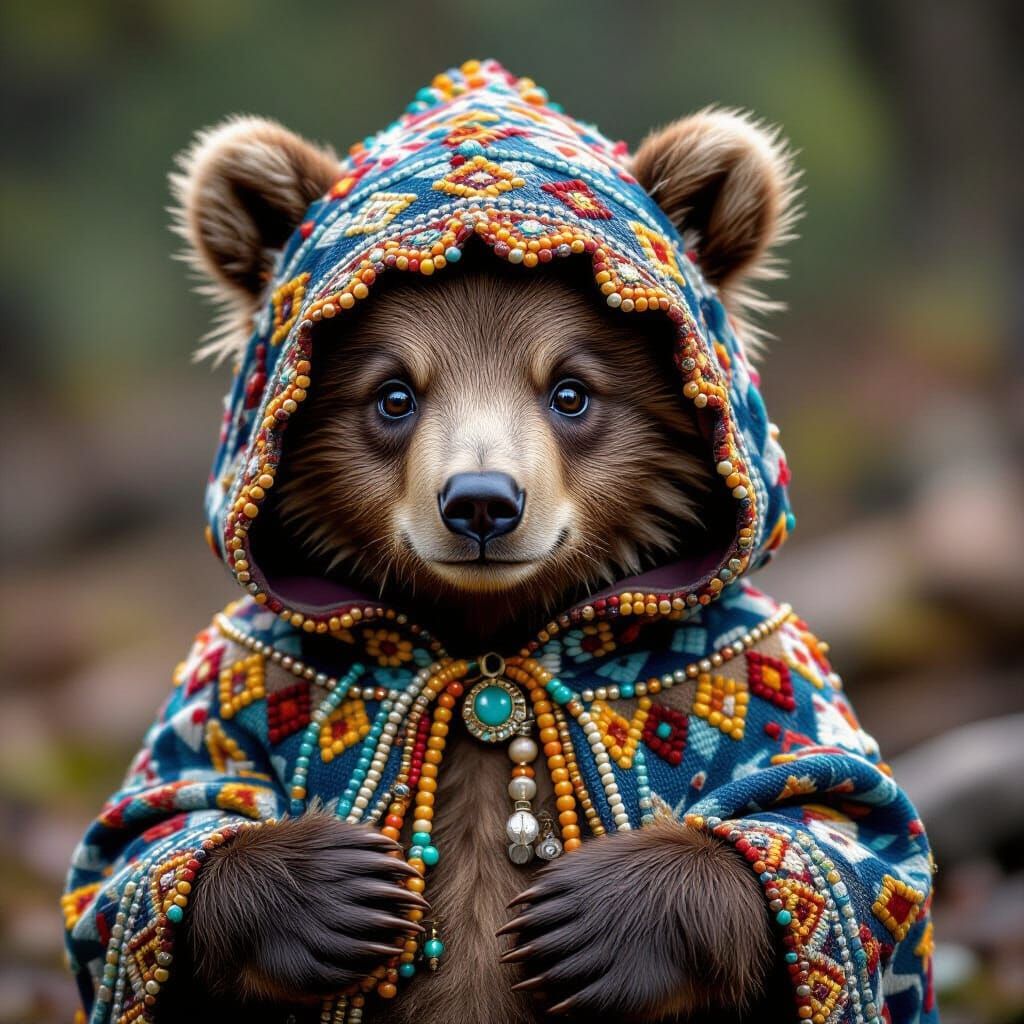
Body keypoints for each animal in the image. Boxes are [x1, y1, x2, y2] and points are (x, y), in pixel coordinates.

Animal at [63, 60, 937, 1024]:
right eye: (394, 394)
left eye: (571, 390)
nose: (482, 502)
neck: (489, 643)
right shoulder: (244, 678)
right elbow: (147, 839)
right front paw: (339, 887)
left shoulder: (750, 673)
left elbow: (842, 831)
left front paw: (590, 918)